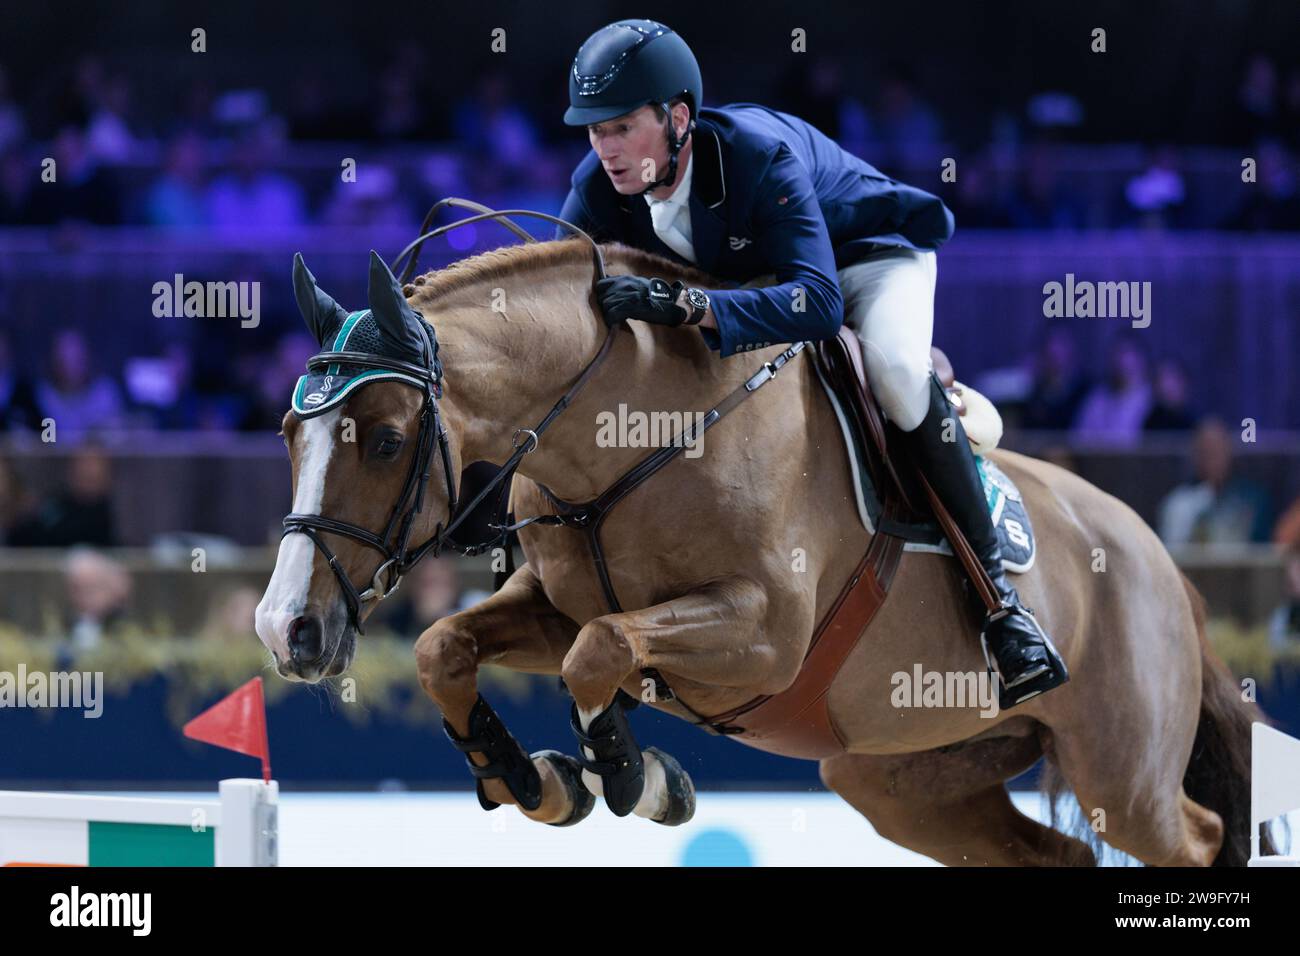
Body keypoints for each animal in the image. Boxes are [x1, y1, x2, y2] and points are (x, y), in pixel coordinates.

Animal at [256, 238, 1268, 868]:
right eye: (288, 436)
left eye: (388, 440)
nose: (286, 630)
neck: (630, 439)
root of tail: (1161, 564)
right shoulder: (555, 605)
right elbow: (448, 649)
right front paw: (533, 780)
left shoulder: (764, 636)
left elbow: (602, 653)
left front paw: (633, 779)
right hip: (902, 780)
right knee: (1046, 852)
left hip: (1121, 775)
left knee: (1199, 836)